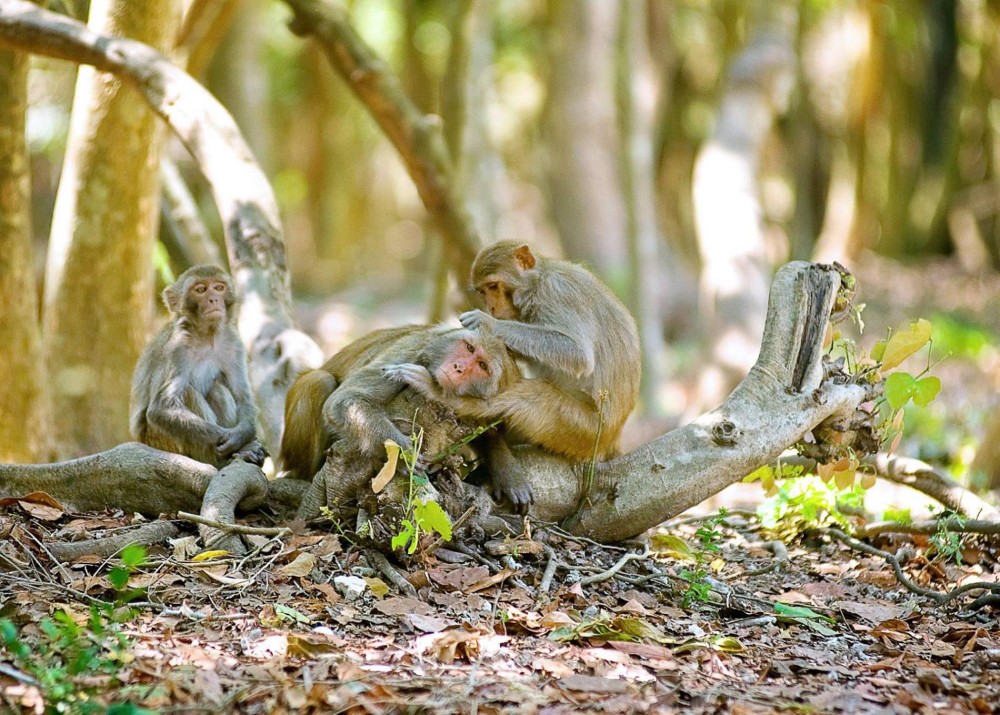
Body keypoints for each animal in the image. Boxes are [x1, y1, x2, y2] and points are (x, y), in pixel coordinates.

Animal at [130, 265, 266, 468]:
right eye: (200, 290)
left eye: (219, 287)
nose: (214, 299)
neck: (206, 337)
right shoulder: (177, 346)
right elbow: (161, 408)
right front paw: (235, 441)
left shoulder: (232, 343)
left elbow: (242, 397)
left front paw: (241, 436)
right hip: (161, 441)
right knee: (187, 392)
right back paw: (223, 458)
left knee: (217, 389)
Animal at [383, 241, 641, 510]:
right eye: (483, 291)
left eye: (494, 286)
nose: (492, 308)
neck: (539, 280)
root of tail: (612, 437)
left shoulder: (556, 293)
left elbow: (577, 354)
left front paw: (487, 322)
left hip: (582, 429)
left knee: (529, 395)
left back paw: (441, 394)